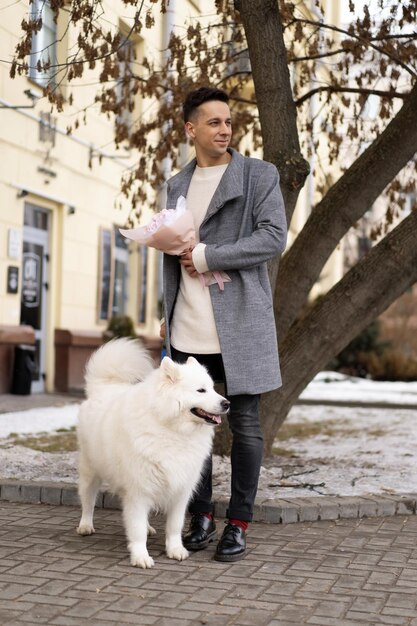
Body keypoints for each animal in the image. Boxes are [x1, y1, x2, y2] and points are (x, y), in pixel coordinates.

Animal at [76, 336, 229, 564]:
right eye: (201, 390)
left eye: (213, 388)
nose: (227, 403)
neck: (172, 429)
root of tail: (104, 386)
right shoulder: (139, 490)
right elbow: (136, 528)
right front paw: (141, 556)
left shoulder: (180, 491)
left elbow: (174, 526)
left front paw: (175, 550)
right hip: (91, 471)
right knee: (88, 500)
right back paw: (85, 525)